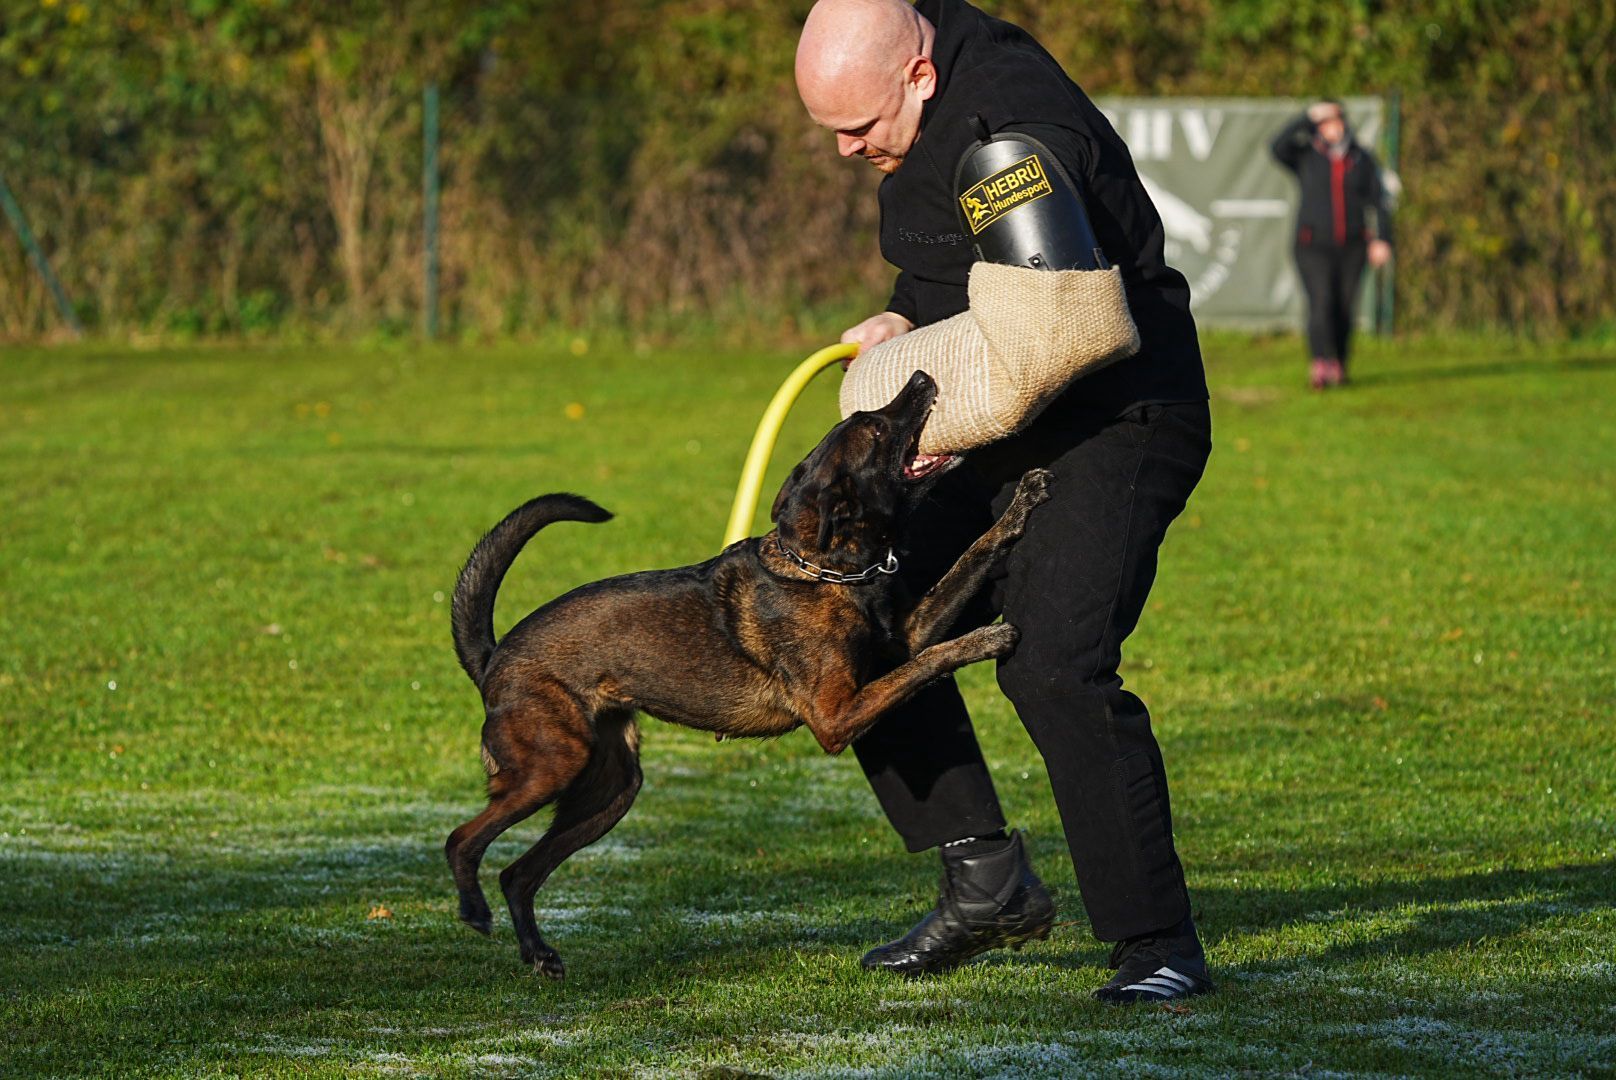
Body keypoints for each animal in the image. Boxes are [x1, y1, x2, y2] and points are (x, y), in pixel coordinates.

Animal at [445, 370, 1052, 977]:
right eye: (875, 428)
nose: (923, 377)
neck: (825, 572)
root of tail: (494, 657)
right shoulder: (837, 716)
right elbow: (934, 657)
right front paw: (989, 638)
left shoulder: (908, 637)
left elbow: (969, 559)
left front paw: (1019, 507)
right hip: (552, 764)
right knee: (462, 840)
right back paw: (473, 911)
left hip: (611, 790)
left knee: (517, 873)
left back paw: (538, 953)